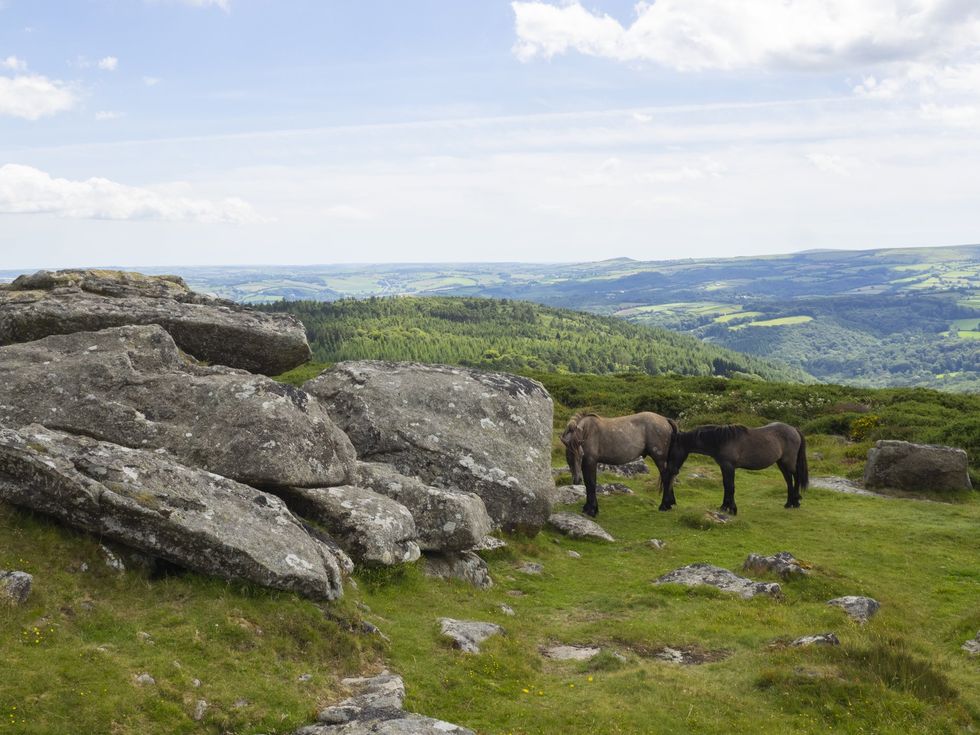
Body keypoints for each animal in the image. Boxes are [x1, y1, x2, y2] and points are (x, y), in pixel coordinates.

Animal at [663, 422, 808, 515]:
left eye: (672, 450)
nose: (671, 470)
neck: (720, 440)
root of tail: (794, 429)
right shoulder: (724, 466)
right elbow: (726, 485)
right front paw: (724, 507)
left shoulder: (729, 466)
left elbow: (730, 486)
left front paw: (732, 509)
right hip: (781, 463)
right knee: (789, 480)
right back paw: (789, 503)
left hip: (789, 462)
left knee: (797, 477)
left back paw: (796, 502)